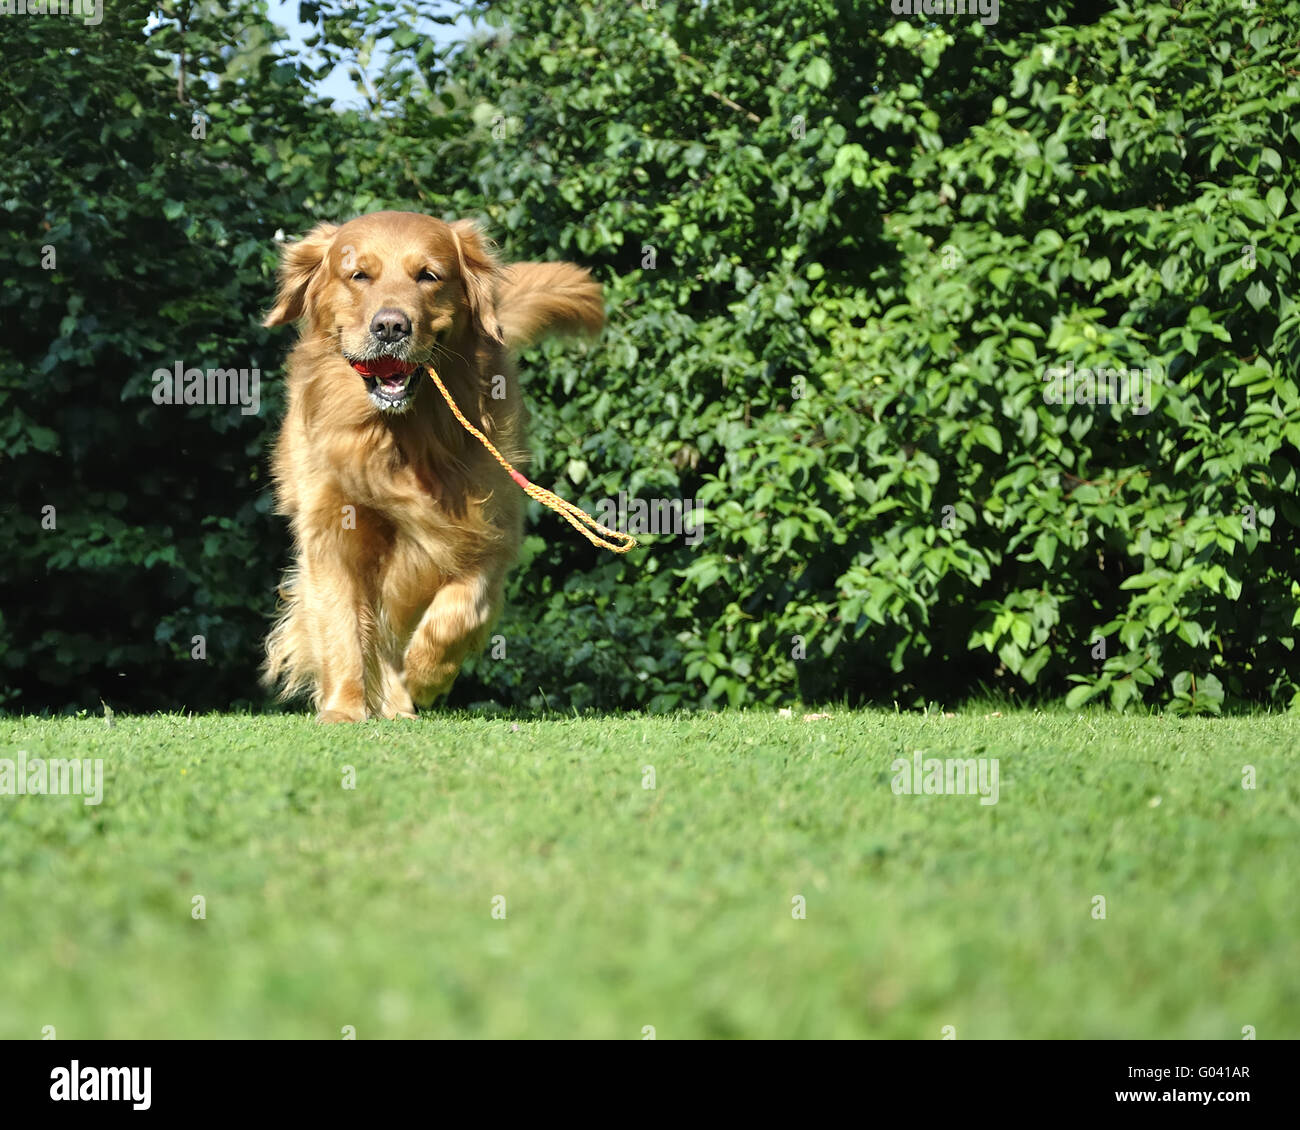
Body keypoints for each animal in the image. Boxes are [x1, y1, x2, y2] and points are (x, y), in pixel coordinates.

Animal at [265, 211, 608, 722]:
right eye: (358, 275)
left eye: (428, 276)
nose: (391, 327)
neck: (399, 440)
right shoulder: (330, 531)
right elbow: (341, 627)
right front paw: (344, 709)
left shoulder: (487, 528)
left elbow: (460, 610)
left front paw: (425, 674)